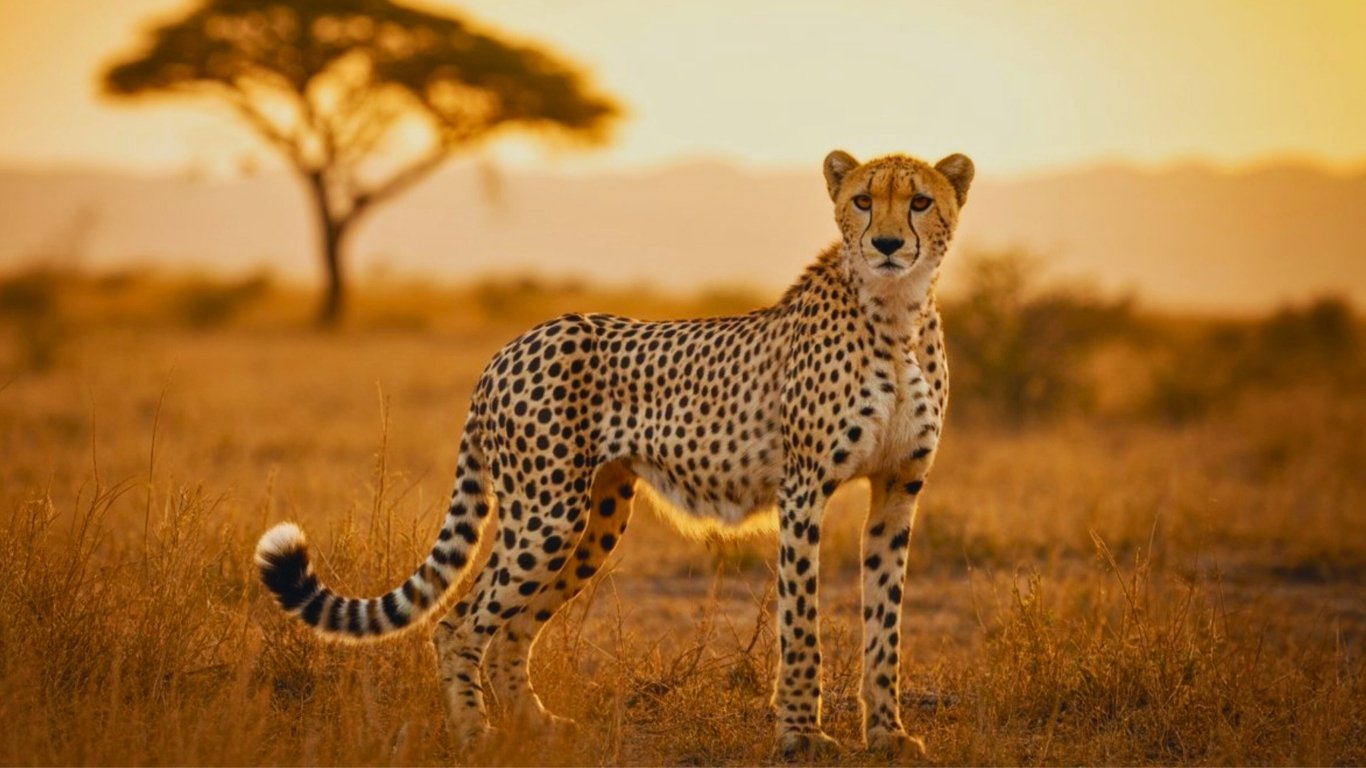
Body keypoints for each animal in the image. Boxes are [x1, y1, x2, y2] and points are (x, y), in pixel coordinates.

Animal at [255, 148, 974, 760]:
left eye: (918, 201)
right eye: (862, 200)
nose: (887, 245)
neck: (897, 315)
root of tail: (512, 345)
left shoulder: (898, 492)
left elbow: (886, 623)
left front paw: (888, 736)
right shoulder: (803, 493)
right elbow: (801, 626)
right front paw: (801, 737)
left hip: (595, 516)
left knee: (510, 629)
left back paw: (539, 729)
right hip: (546, 514)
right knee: (458, 624)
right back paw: (475, 739)